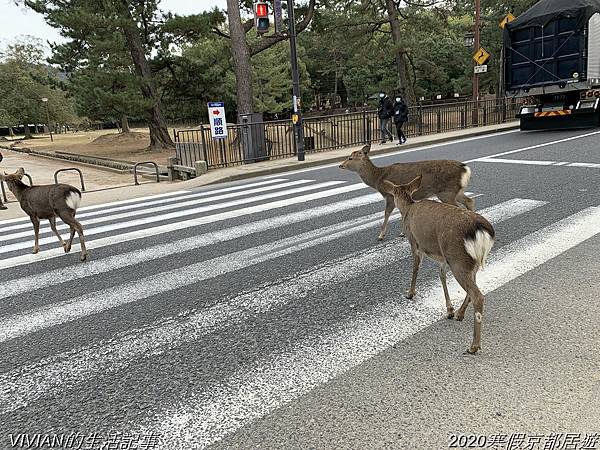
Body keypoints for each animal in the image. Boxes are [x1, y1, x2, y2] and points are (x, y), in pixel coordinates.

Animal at [340, 145, 476, 243]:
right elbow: (400, 212)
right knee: (469, 200)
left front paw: (381, 235)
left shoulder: (390, 195)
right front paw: (402, 233)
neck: (378, 178)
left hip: (446, 192)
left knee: (459, 207)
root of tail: (465, 169)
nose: (340, 165)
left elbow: (387, 213)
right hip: (456, 191)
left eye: (350, 158)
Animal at [382, 176, 494, 356]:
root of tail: (481, 231)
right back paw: (460, 314)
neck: (408, 208)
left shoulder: (415, 243)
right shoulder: (441, 258)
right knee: (474, 288)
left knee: (477, 295)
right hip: (471, 262)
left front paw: (410, 293)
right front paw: (449, 309)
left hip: (458, 259)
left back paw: (473, 346)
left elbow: (415, 268)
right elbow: (441, 276)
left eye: (393, 193)